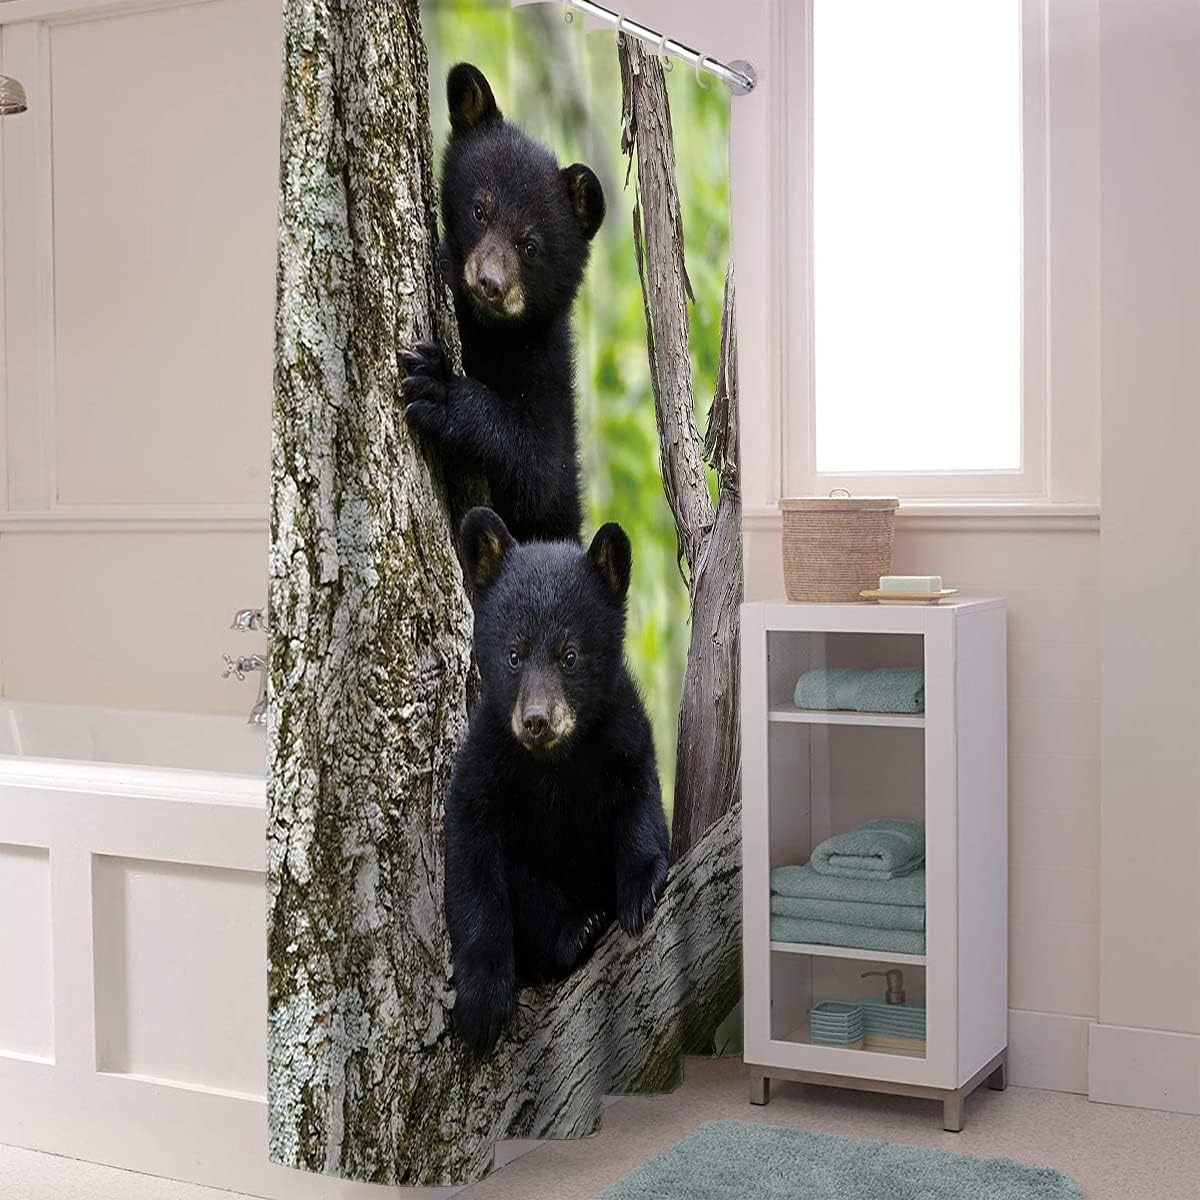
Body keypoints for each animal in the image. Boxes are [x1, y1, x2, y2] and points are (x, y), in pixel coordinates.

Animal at [400, 63, 606, 545]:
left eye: (530, 246)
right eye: (481, 211)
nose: (489, 284)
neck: (487, 332)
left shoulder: (548, 371)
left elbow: (542, 470)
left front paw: (439, 389)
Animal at [443, 507, 669, 1055]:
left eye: (570, 655)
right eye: (514, 654)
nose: (537, 721)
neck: (555, 763)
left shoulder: (621, 732)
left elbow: (641, 798)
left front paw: (641, 890)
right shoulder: (487, 757)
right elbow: (472, 860)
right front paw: (481, 1002)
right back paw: (576, 930)